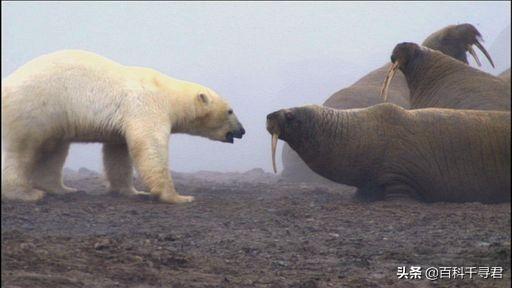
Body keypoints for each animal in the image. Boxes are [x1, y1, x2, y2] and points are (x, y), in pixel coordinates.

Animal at [1, 49, 246, 202]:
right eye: (230, 110)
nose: (242, 131)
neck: (168, 92)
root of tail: (6, 84)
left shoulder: (122, 125)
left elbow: (118, 153)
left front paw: (131, 192)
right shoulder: (146, 105)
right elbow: (150, 147)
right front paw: (178, 197)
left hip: (54, 118)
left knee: (55, 150)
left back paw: (63, 189)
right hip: (35, 107)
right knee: (22, 150)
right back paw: (26, 193)